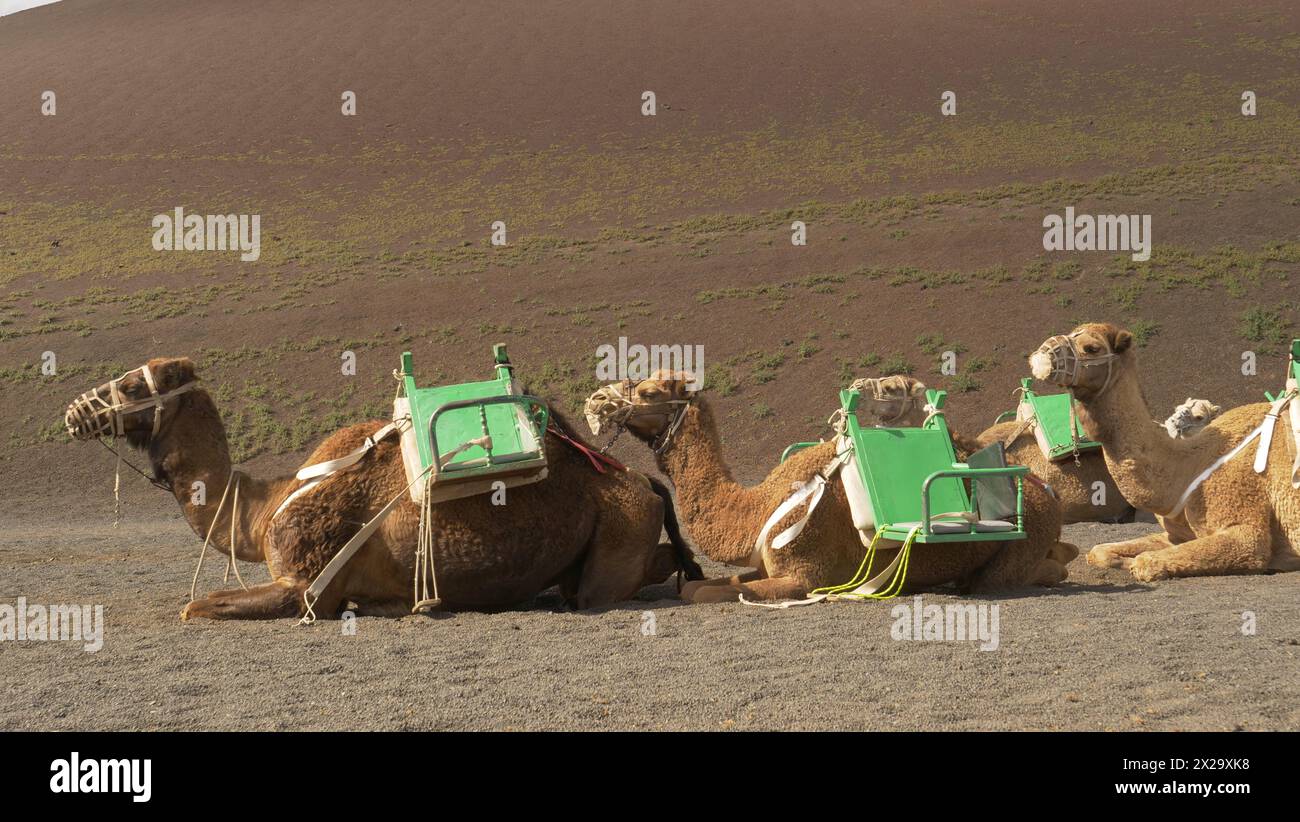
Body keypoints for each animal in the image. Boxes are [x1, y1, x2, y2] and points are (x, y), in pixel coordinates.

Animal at [64, 356, 702, 619]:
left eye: (130, 386)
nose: (74, 412)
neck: (265, 507)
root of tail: (639, 480)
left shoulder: (305, 588)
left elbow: (194, 608)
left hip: (613, 543)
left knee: (620, 582)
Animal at [585, 371, 1071, 603]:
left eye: (648, 392)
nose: (596, 401)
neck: (761, 507)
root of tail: (1047, 495)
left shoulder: (806, 576)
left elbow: (702, 592)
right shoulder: (767, 565)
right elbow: (695, 588)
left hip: (1014, 554)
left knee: (1033, 573)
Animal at [1034, 323, 1300, 580]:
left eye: (1091, 347)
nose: (1043, 353)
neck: (1191, 466)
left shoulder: (1244, 522)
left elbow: (1145, 563)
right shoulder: (1176, 535)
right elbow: (1098, 551)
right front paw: (1122, 561)